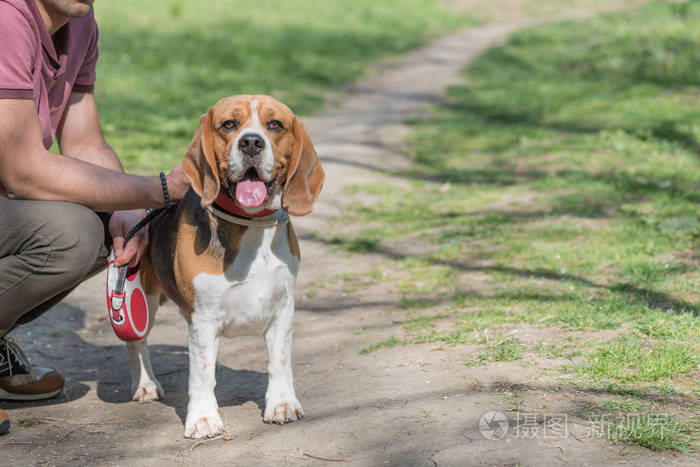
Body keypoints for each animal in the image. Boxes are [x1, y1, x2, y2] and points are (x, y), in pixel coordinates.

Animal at [123, 94, 326, 438]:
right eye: (229, 125)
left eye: (275, 125)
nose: (251, 142)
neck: (250, 225)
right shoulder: (203, 318)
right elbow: (202, 376)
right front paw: (203, 418)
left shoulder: (283, 309)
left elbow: (279, 362)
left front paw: (282, 404)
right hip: (143, 305)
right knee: (138, 344)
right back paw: (146, 385)